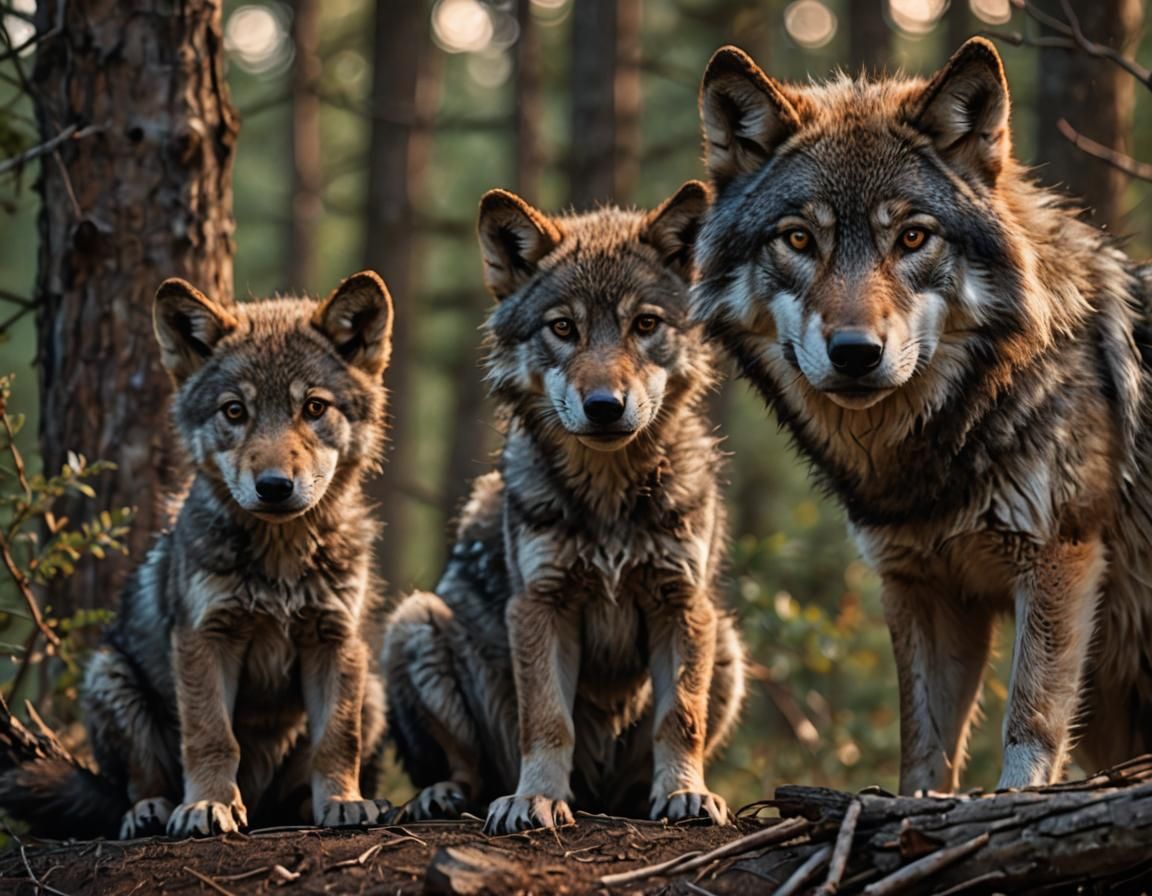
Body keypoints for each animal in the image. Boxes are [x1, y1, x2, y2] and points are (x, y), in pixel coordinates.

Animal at [0, 271, 396, 839]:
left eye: (314, 407)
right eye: (235, 411)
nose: (274, 486)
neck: (281, 559)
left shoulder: (335, 639)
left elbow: (338, 740)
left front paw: (344, 801)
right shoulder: (205, 639)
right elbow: (212, 736)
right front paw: (208, 805)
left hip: (375, 692)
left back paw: (306, 807)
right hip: (109, 675)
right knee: (134, 785)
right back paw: (150, 811)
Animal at [383, 183, 746, 833]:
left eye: (644, 324)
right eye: (563, 328)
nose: (604, 405)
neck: (608, 498)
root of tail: (599, 791)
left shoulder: (682, 603)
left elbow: (681, 717)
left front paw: (686, 792)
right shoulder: (540, 606)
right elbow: (548, 718)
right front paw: (535, 799)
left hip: (725, 638)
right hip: (414, 623)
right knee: (467, 768)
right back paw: (445, 795)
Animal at [691, 36, 1152, 794]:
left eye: (911, 237)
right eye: (798, 240)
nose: (855, 353)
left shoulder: (1062, 558)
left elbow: (1029, 723)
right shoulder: (922, 585)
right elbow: (923, 749)